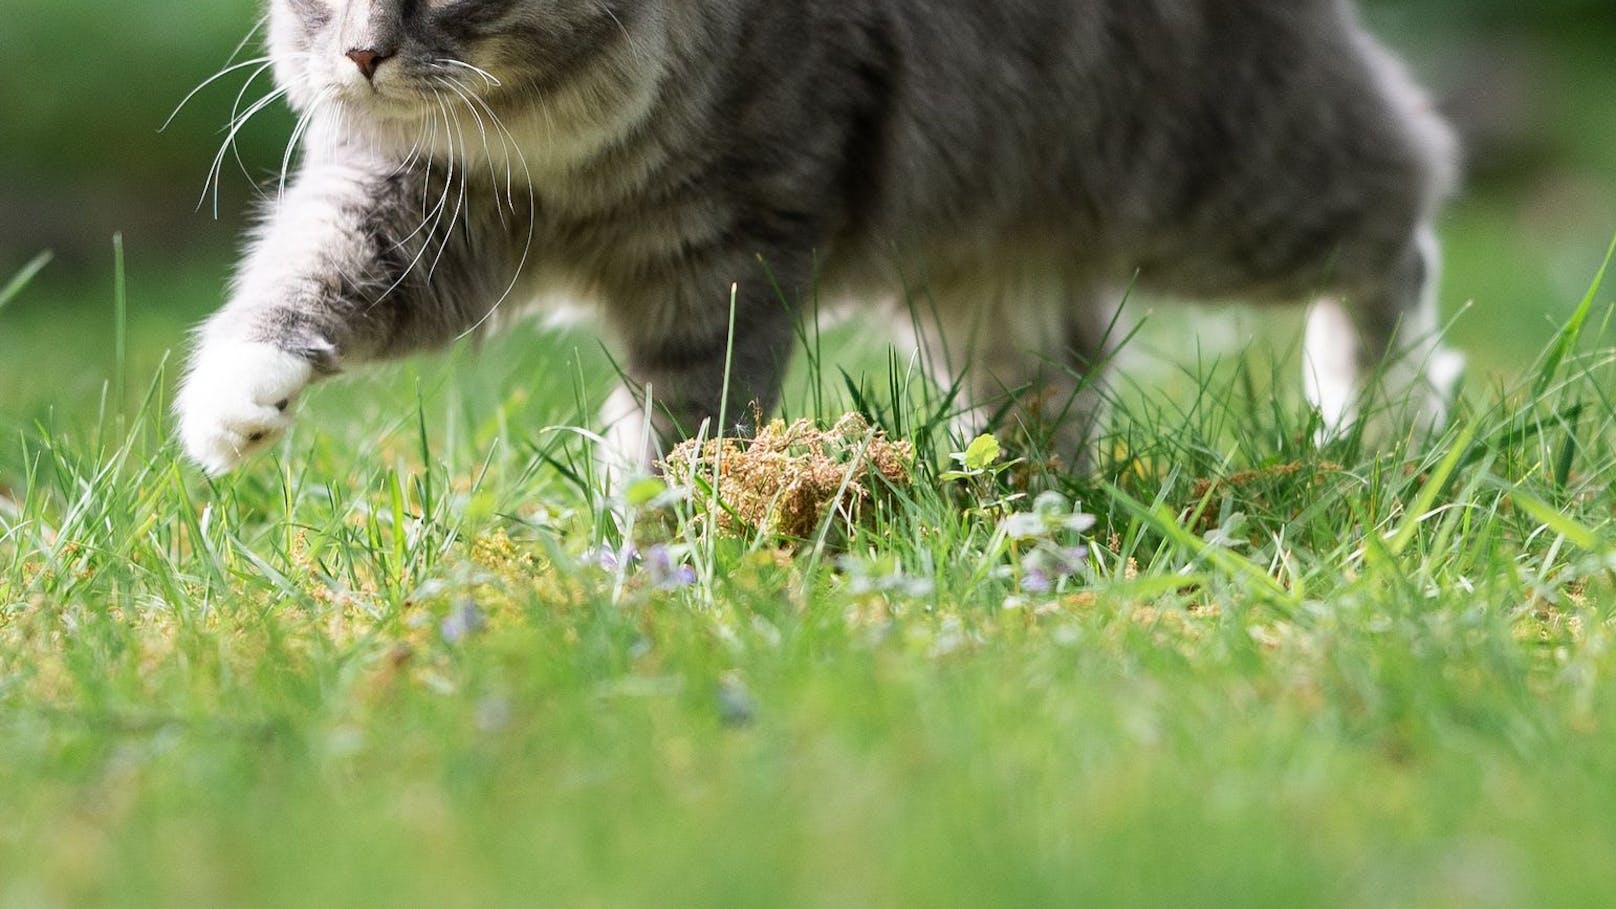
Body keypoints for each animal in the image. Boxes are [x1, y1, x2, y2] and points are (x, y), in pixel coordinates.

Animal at [176, 0, 1467, 478]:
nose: (364, 53)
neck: (565, 159)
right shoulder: (414, 201)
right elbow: (295, 291)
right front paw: (232, 413)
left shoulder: (728, 250)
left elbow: (685, 418)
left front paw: (664, 550)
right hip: (983, 273)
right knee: (1052, 387)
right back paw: (1022, 498)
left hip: (1229, 186)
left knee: (1402, 213)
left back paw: (1381, 418)